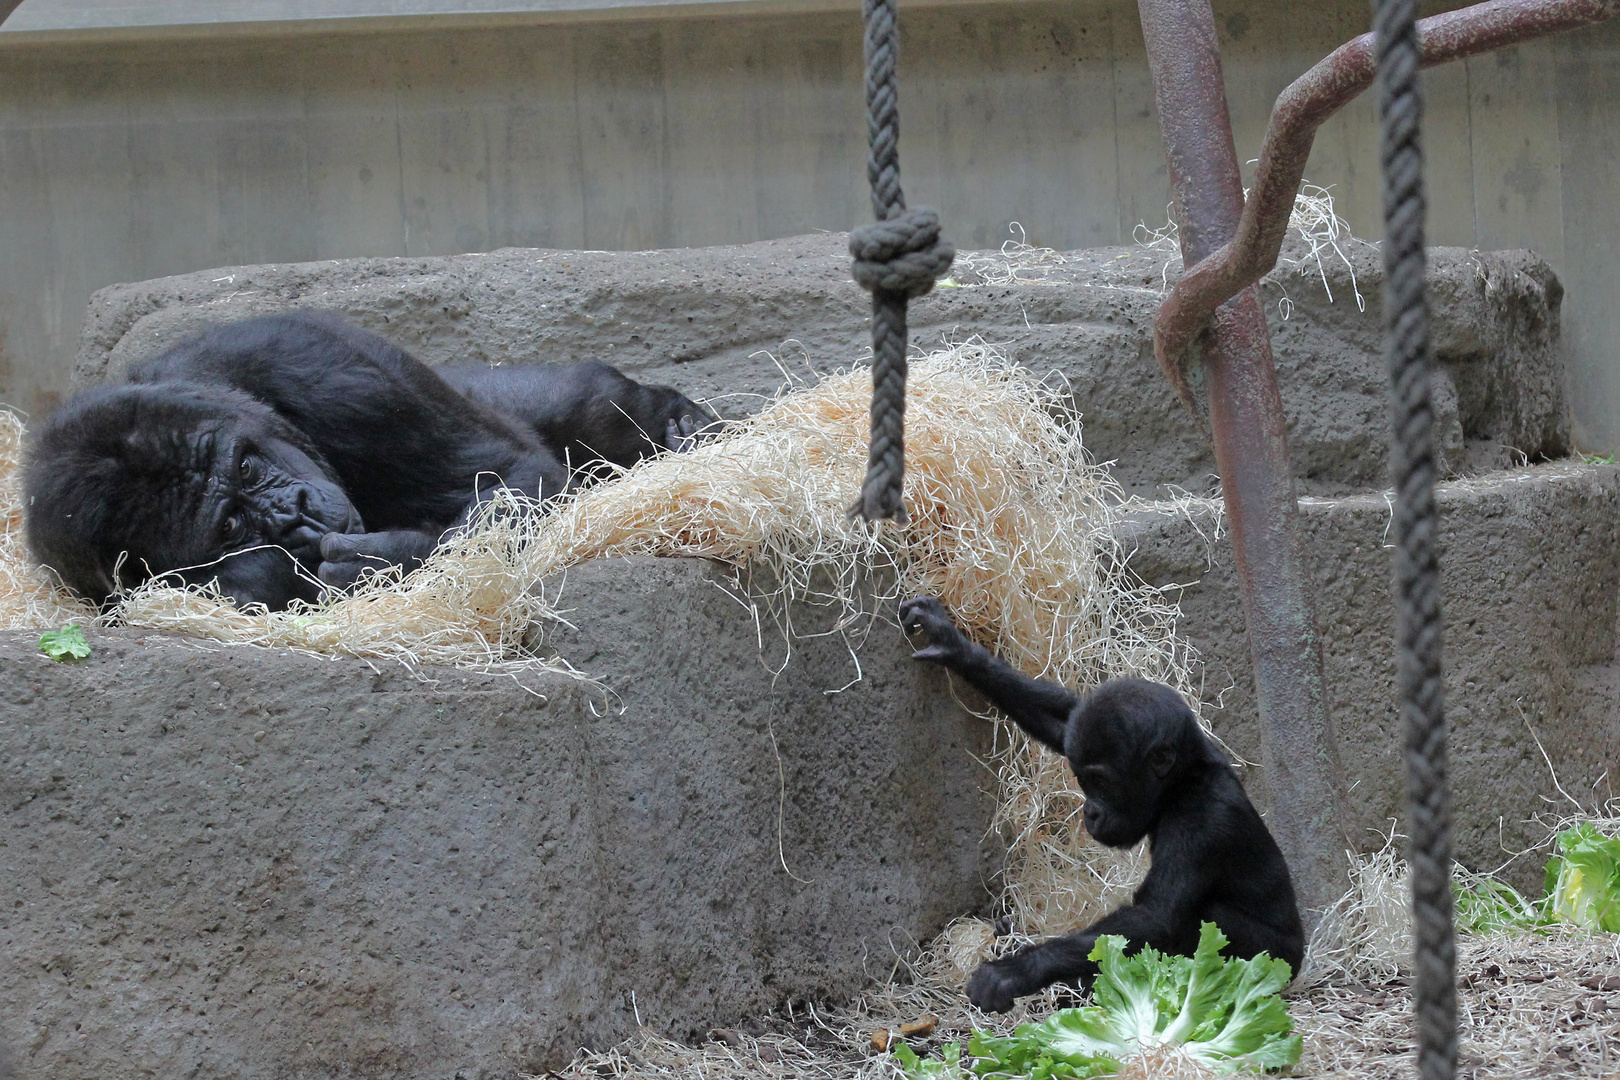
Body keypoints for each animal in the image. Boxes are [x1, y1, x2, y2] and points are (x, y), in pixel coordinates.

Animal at [25, 314, 716, 615]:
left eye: (245, 468)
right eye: (229, 526)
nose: (296, 512)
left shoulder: (312, 359)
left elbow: (513, 476)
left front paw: (385, 559)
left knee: (587, 404)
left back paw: (679, 427)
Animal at [900, 595, 1302, 1016]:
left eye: (1102, 783)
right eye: (1083, 779)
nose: (1090, 811)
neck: (1180, 783)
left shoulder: (1203, 819)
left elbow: (1155, 917)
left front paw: (1014, 972)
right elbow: (1065, 717)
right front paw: (953, 646)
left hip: (1275, 964)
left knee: (1211, 918)